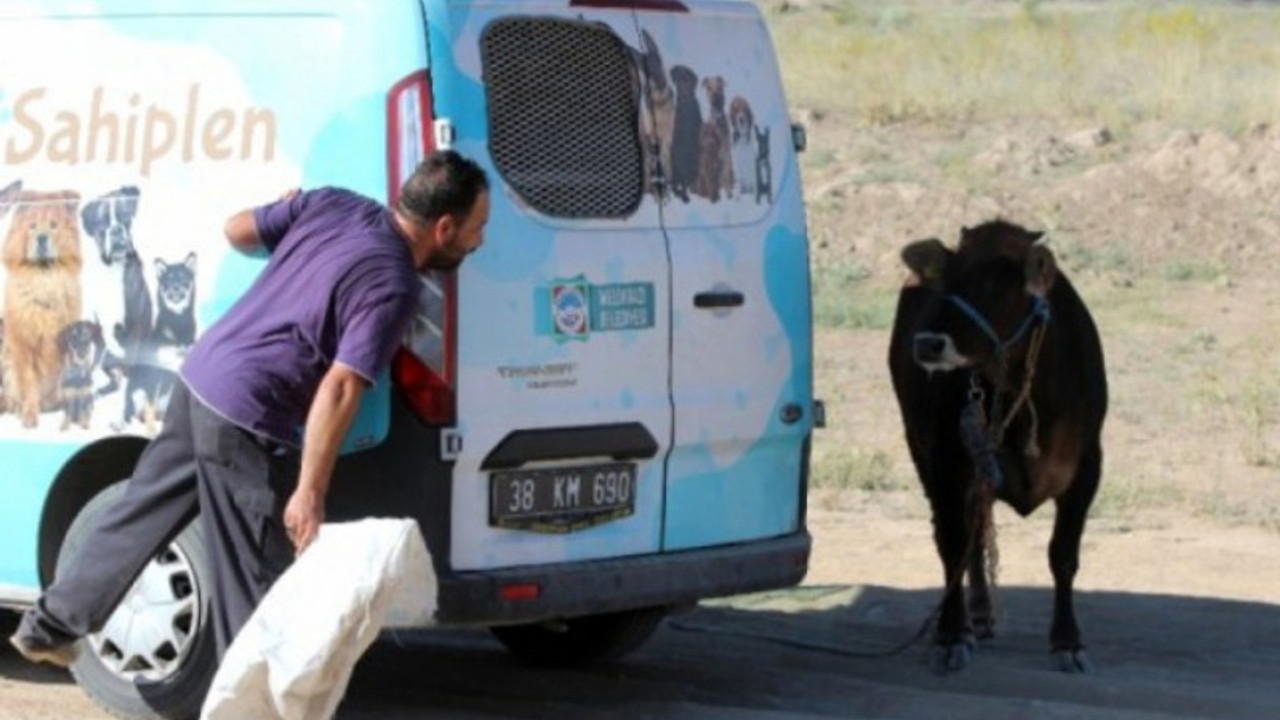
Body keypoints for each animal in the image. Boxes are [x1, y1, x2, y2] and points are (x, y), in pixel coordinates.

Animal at [890, 220, 1111, 671]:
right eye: (946, 280)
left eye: (996, 286)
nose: (927, 343)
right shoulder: (948, 462)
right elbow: (953, 544)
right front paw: (951, 634)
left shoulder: (1088, 468)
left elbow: (1063, 555)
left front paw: (1068, 641)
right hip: (922, 452)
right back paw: (971, 616)